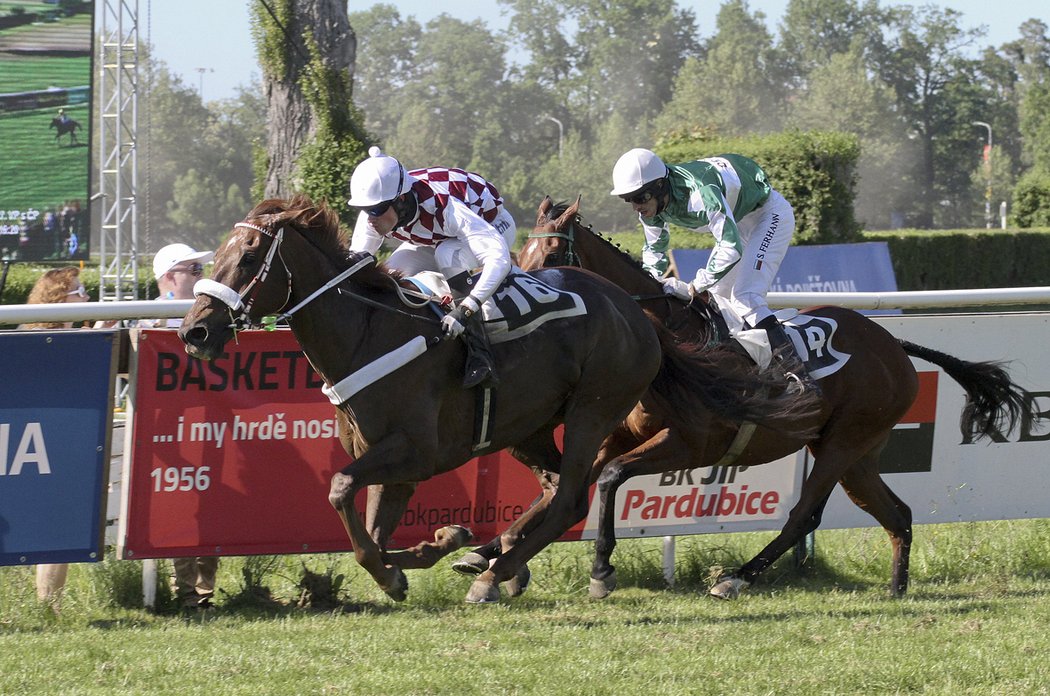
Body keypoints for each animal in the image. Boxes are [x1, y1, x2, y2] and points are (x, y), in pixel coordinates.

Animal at [178, 194, 810, 604]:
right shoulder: (392, 465)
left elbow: (339, 494)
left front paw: (412, 567)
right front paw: (434, 548)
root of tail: (639, 315)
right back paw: (494, 558)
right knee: (558, 487)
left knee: (572, 497)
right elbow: (370, 538)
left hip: (592, 411)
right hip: (529, 428)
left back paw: (497, 572)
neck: (370, 334)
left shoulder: (414, 451)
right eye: (217, 253)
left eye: (250, 256)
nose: (194, 332)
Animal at [512, 196, 1029, 600]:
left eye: (553, 252)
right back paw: (897, 588)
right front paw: (504, 553)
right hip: (859, 454)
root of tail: (895, 346)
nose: (517, 291)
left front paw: (600, 569)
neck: (670, 338)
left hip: (844, 443)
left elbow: (609, 478)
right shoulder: (617, 433)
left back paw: (735, 579)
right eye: (522, 249)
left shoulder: (693, 444)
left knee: (803, 516)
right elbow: (567, 485)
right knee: (895, 514)